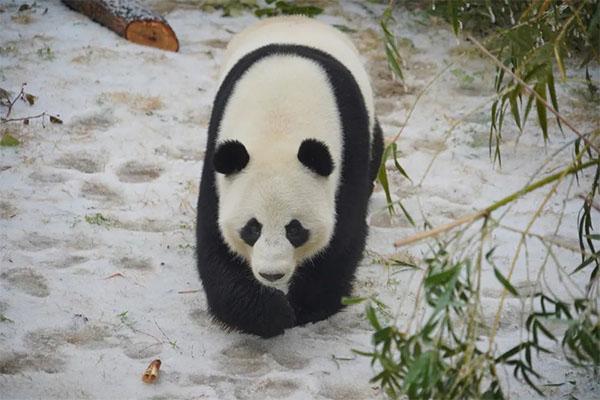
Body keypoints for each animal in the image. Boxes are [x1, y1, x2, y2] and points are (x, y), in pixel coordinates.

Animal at [197, 17, 384, 340]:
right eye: (252, 228)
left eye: (295, 229)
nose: (272, 274)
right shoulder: (219, 162)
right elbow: (215, 243)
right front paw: (270, 313)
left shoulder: (350, 149)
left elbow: (343, 236)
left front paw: (304, 307)